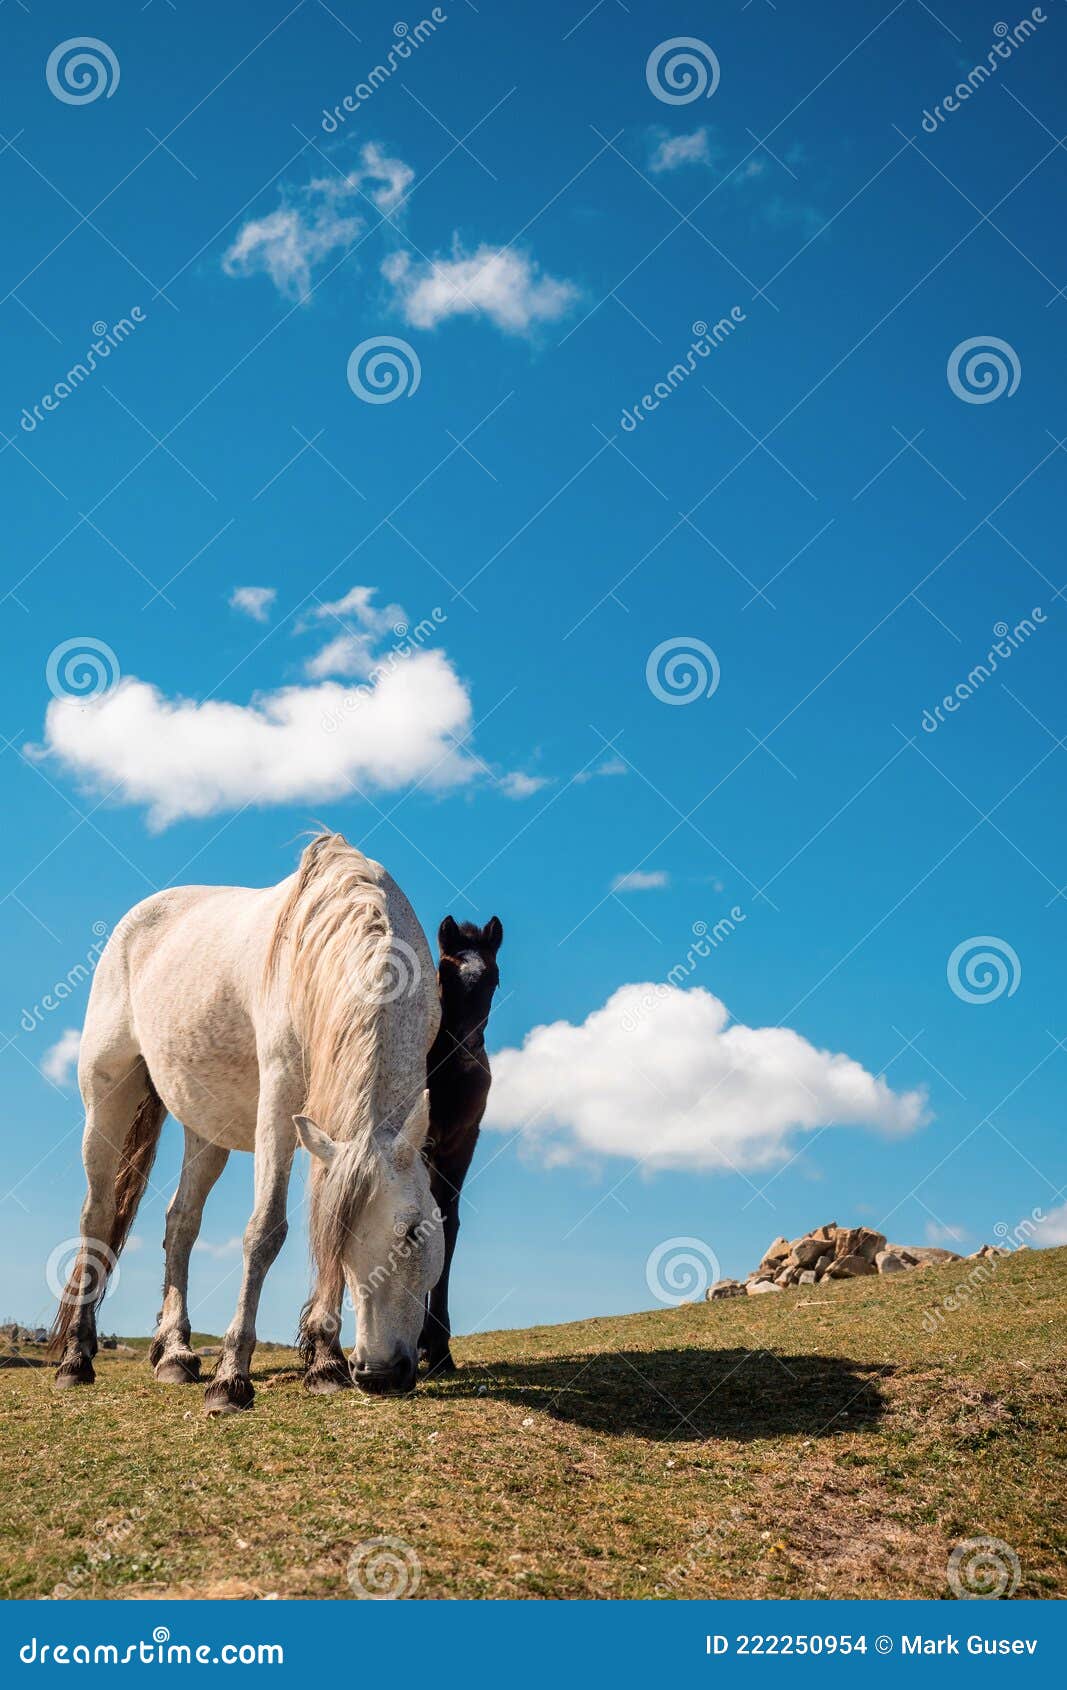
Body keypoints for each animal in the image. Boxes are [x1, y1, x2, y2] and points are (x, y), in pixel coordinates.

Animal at [50, 834, 446, 1412]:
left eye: (417, 1231)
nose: (378, 1372)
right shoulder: (279, 1104)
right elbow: (266, 1232)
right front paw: (232, 1377)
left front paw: (324, 1361)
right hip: (106, 1102)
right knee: (97, 1216)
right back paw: (76, 1359)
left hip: (204, 1127)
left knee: (181, 1223)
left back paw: (174, 1353)